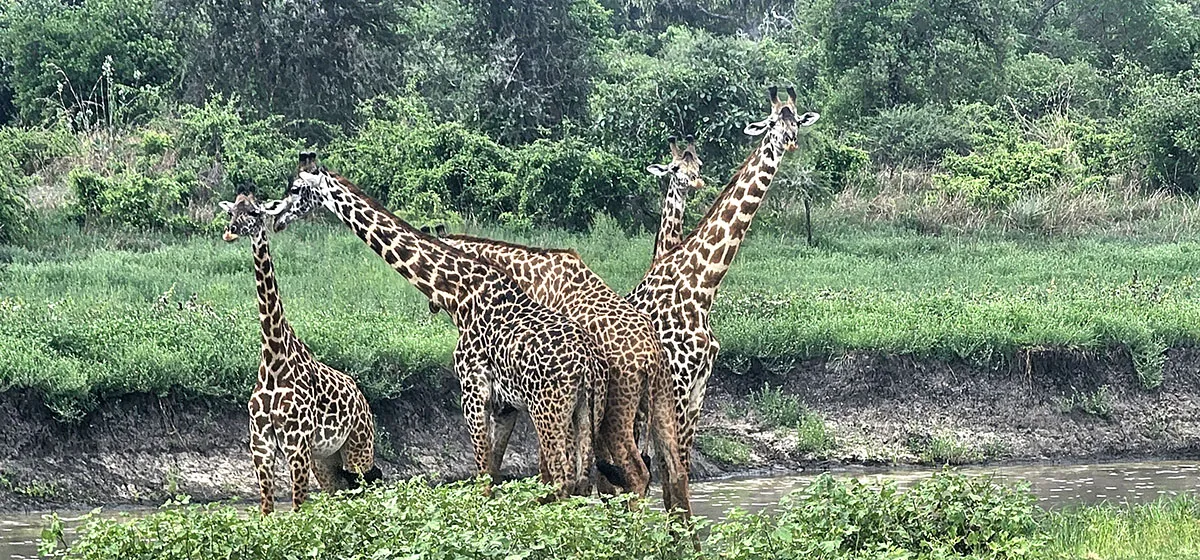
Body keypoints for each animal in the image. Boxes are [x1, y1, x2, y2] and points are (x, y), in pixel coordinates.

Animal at [219, 193, 382, 515]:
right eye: (232, 212)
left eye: (254, 212)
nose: (230, 232)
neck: (273, 359)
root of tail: (362, 398)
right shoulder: (262, 446)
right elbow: (267, 512)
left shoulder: (297, 444)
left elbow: (298, 510)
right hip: (326, 460)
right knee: (340, 495)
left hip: (358, 448)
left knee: (368, 488)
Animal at [272, 153, 608, 500]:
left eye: (295, 189)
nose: (277, 217)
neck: (459, 296)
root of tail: (587, 366)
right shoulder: (503, 405)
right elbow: (494, 472)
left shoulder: (473, 391)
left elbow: (483, 478)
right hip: (586, 411)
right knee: (584, 483)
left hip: (547, 409)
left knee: (562, 479)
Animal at [434, 233, 692, 516]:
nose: (433, 304)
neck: (528, 276)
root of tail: (650, 356)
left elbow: (553, 471)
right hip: (662, 399)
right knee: (675, 472)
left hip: (616, 411)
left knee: (636, 473)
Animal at [626, 86, 819, 470]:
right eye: (772, 122)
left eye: (797, 119)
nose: (790, 141)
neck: (701, 286)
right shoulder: (677, 381)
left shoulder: (699, 385)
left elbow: (681, 465)